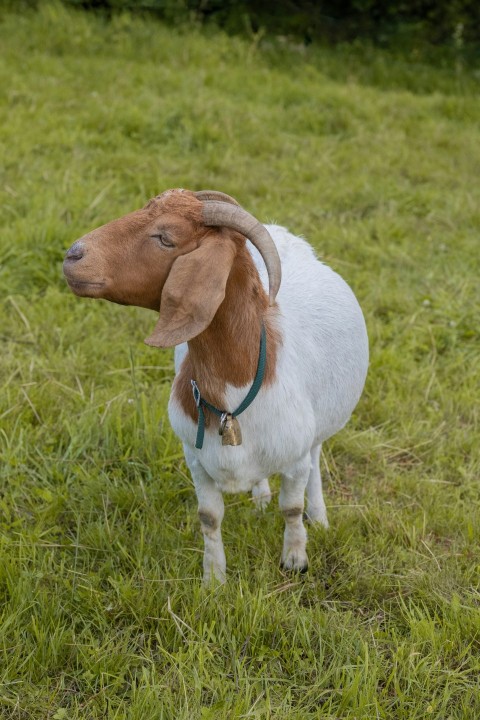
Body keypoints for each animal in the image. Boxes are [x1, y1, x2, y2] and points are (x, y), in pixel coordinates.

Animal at [62, 188, 368, 584]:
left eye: (165, 238)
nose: (73, 255)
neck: (237, 390)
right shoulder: (195, 458)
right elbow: (209, 517)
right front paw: (213, 579)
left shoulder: (294, 457)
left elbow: (291, 507)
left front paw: (295, 559)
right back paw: (260, 497)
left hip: (318, 429)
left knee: (316, 459)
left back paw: (319, 516)